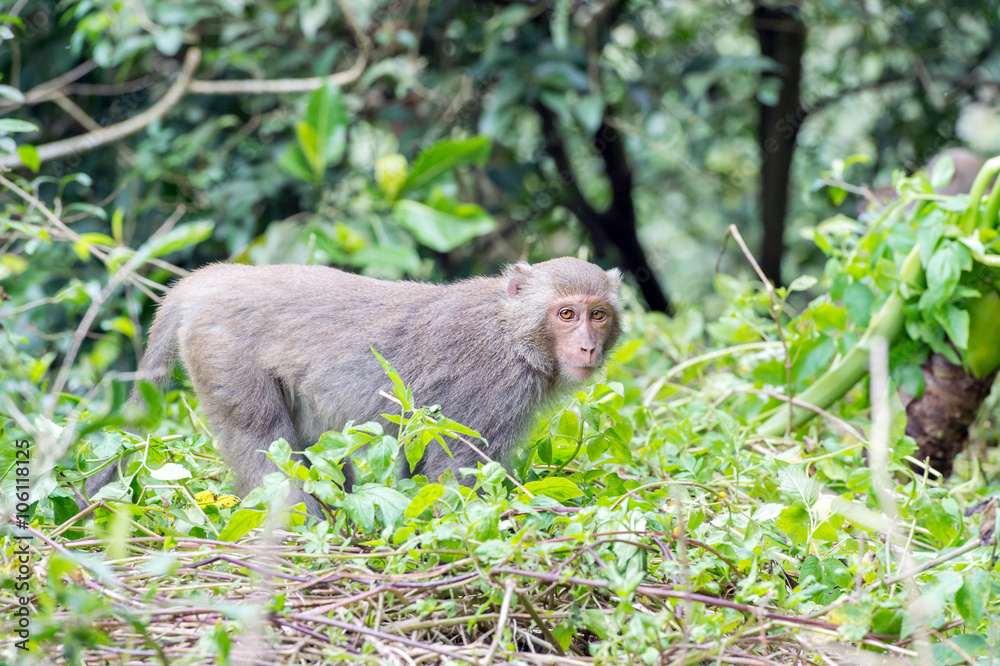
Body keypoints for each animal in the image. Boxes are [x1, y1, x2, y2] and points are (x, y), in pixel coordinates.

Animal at [82, 256, 620, 510]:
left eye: (598, 314)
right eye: (566, 314)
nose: (587, 347)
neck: (514, 333)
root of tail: (207, 282)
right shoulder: (492, 389)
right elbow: (454, 476)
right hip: (225, 356)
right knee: (262, 440)